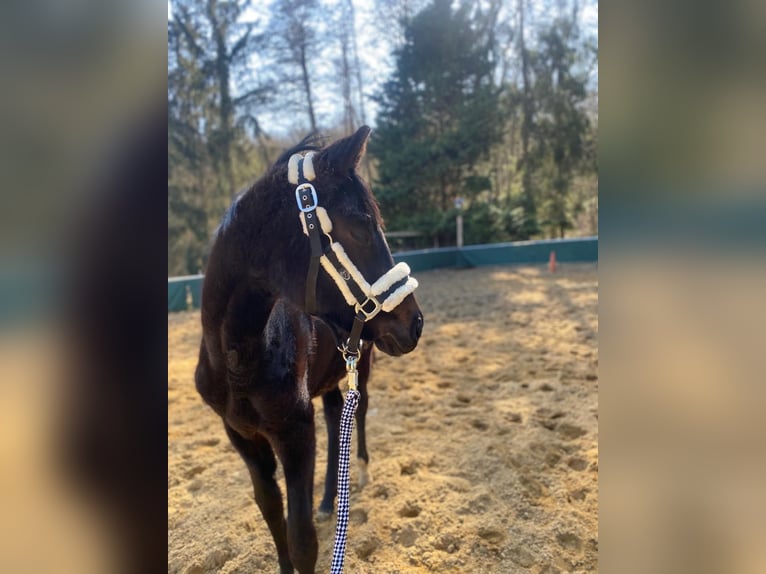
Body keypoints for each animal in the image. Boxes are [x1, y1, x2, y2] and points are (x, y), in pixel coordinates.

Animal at [194, 126, 424, 574]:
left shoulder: (295, 433)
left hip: (361, 367)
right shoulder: (241, 436)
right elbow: (271, 511)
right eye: (359, 225)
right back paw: (329, 500)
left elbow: (303, 541)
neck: (238, 360)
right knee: (337, 421)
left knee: (357, 415)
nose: (415, 323)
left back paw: (360, 474)